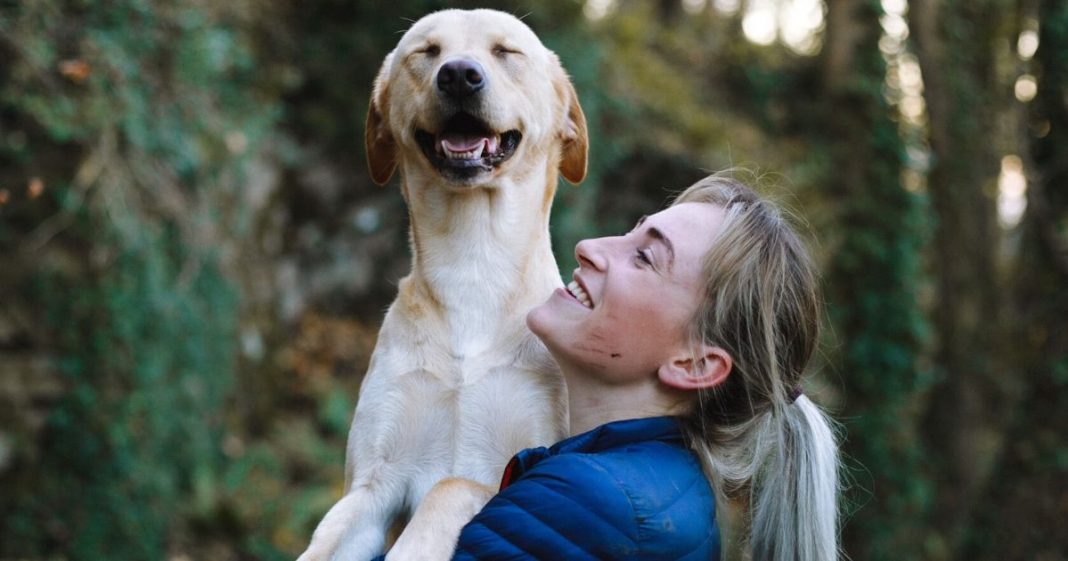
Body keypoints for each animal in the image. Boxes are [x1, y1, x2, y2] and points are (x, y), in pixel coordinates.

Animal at [296, 9, 589, 559]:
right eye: (426, 53)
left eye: (505, 51)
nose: (458, 75)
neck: (471, 264)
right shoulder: (372, 483)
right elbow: (326, 541)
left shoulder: (525, 469)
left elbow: (451, 486)